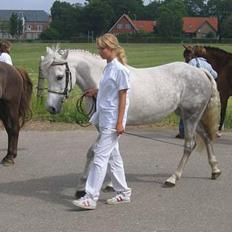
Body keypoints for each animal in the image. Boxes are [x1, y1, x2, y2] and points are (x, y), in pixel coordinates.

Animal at [41, 46, 221, 196]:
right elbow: (108, 153)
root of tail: (201, 72)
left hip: (191, 117)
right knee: (206, 137)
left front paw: (81, 188)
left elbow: (94, 152)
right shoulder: (104, 128)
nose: (51, 107)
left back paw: (173, 178)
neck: (102, 81)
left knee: (189, 145)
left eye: (59, 77)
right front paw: (110, 184)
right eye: (46, 75)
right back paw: (215, 170)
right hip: (189, 116)